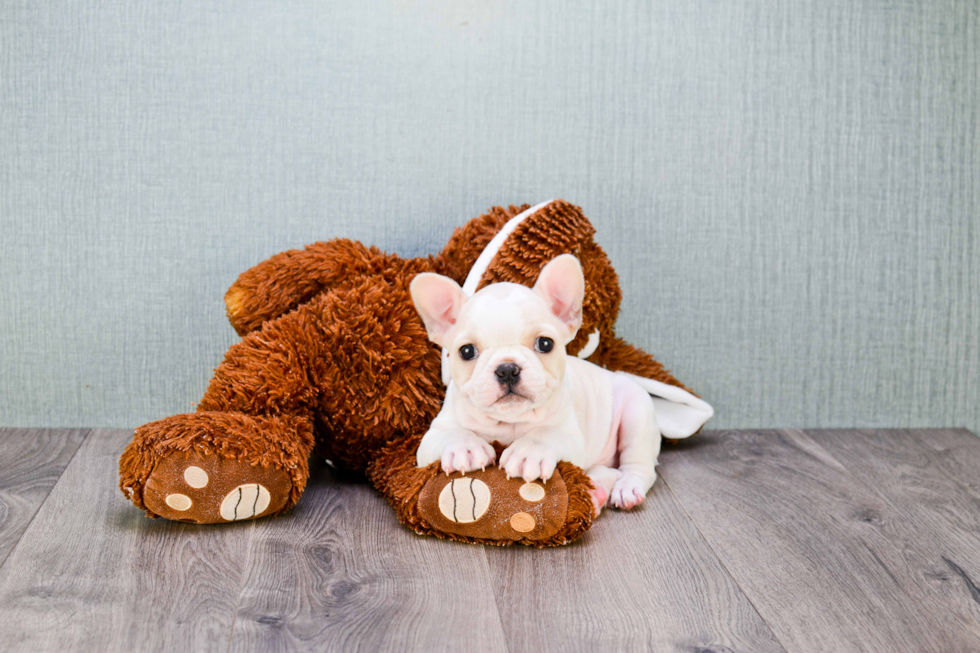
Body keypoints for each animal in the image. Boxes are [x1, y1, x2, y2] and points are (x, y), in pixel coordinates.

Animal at [410, 252, 664, 512]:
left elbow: (545, 432)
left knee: (638, 466)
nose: (507, 369)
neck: (509, 422)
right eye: (467, 351)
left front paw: (529, 451)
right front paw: (466, 446)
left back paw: (626, 489)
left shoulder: (572, 438)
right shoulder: (429, 440)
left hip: (637, 414)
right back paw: (597, 491)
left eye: (545, 343)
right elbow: (452, 433)